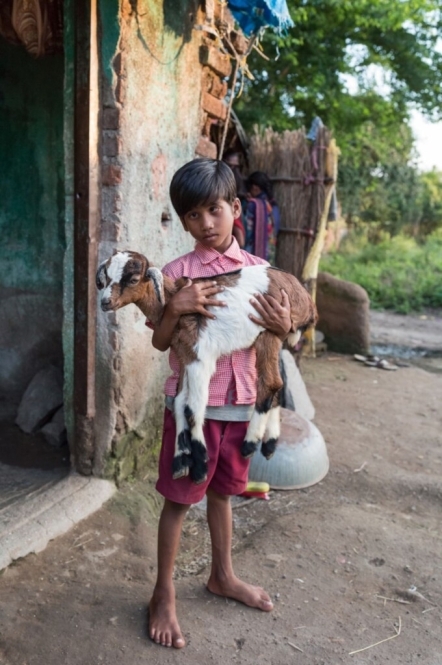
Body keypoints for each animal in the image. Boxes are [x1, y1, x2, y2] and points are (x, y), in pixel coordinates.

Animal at [96, 249, 318, 482]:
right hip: (273, 334)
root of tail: (305, 298)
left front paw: (201, 465)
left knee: (271, 382)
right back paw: (269, 444)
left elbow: (193, 408)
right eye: (105, 278)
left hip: (270, 328)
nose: (105, 302)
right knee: (277, 383)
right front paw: (180, 460)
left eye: (133, 279)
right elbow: (179, 402)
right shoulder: (185, 356)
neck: (174, 300)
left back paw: (249, 444)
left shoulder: (200, 359)